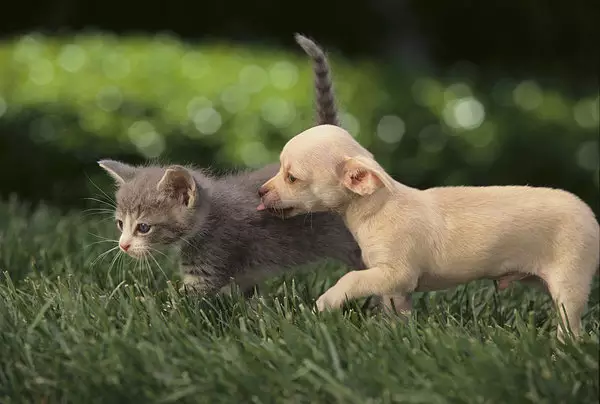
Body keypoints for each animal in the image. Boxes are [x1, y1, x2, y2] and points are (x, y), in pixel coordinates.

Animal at [258, 123, 600, 340]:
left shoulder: (396, 273)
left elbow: (351, 278)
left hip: (569, 282)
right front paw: (396, 335)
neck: (377, 207)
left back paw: (561, 350)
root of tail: (590, 214)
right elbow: (396, 310)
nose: (260, 192)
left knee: (572, 327)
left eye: (291, 177)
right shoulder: (394, 286)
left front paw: (325, 303)